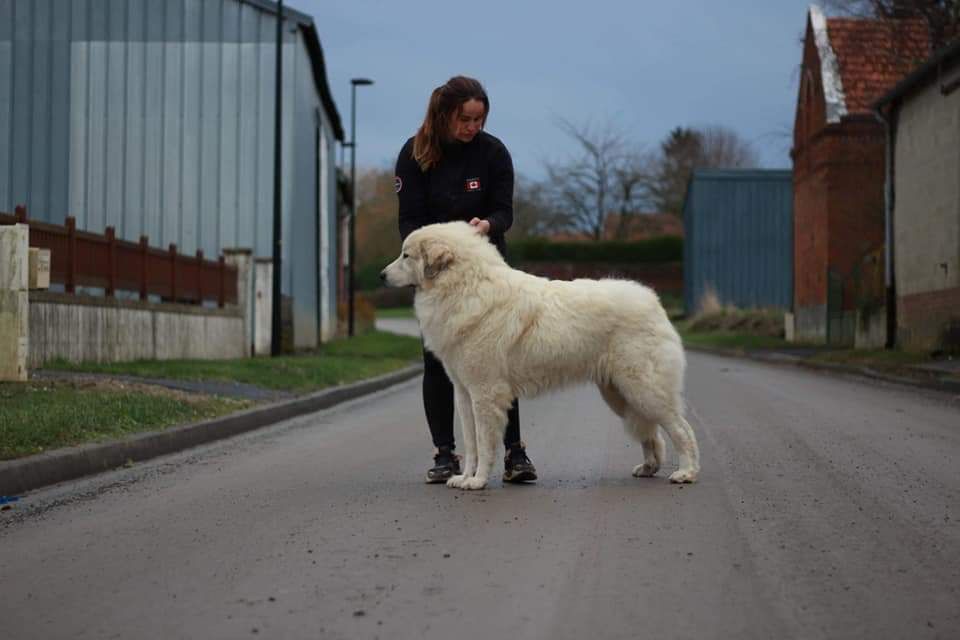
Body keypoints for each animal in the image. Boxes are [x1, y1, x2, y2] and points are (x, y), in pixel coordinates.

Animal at [378, 221, 700, 490]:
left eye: (406, 256)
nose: (380, 276)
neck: (465, 288)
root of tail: (652, 300)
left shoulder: (485, 393)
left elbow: (483, 442)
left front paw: (478, 481)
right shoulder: (463, 392)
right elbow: (469, 442)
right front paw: (464, 477)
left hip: (644, 389)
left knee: (681, 429)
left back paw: (686, 473)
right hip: (620, 394)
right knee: (652, 432)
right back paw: (648, 468)